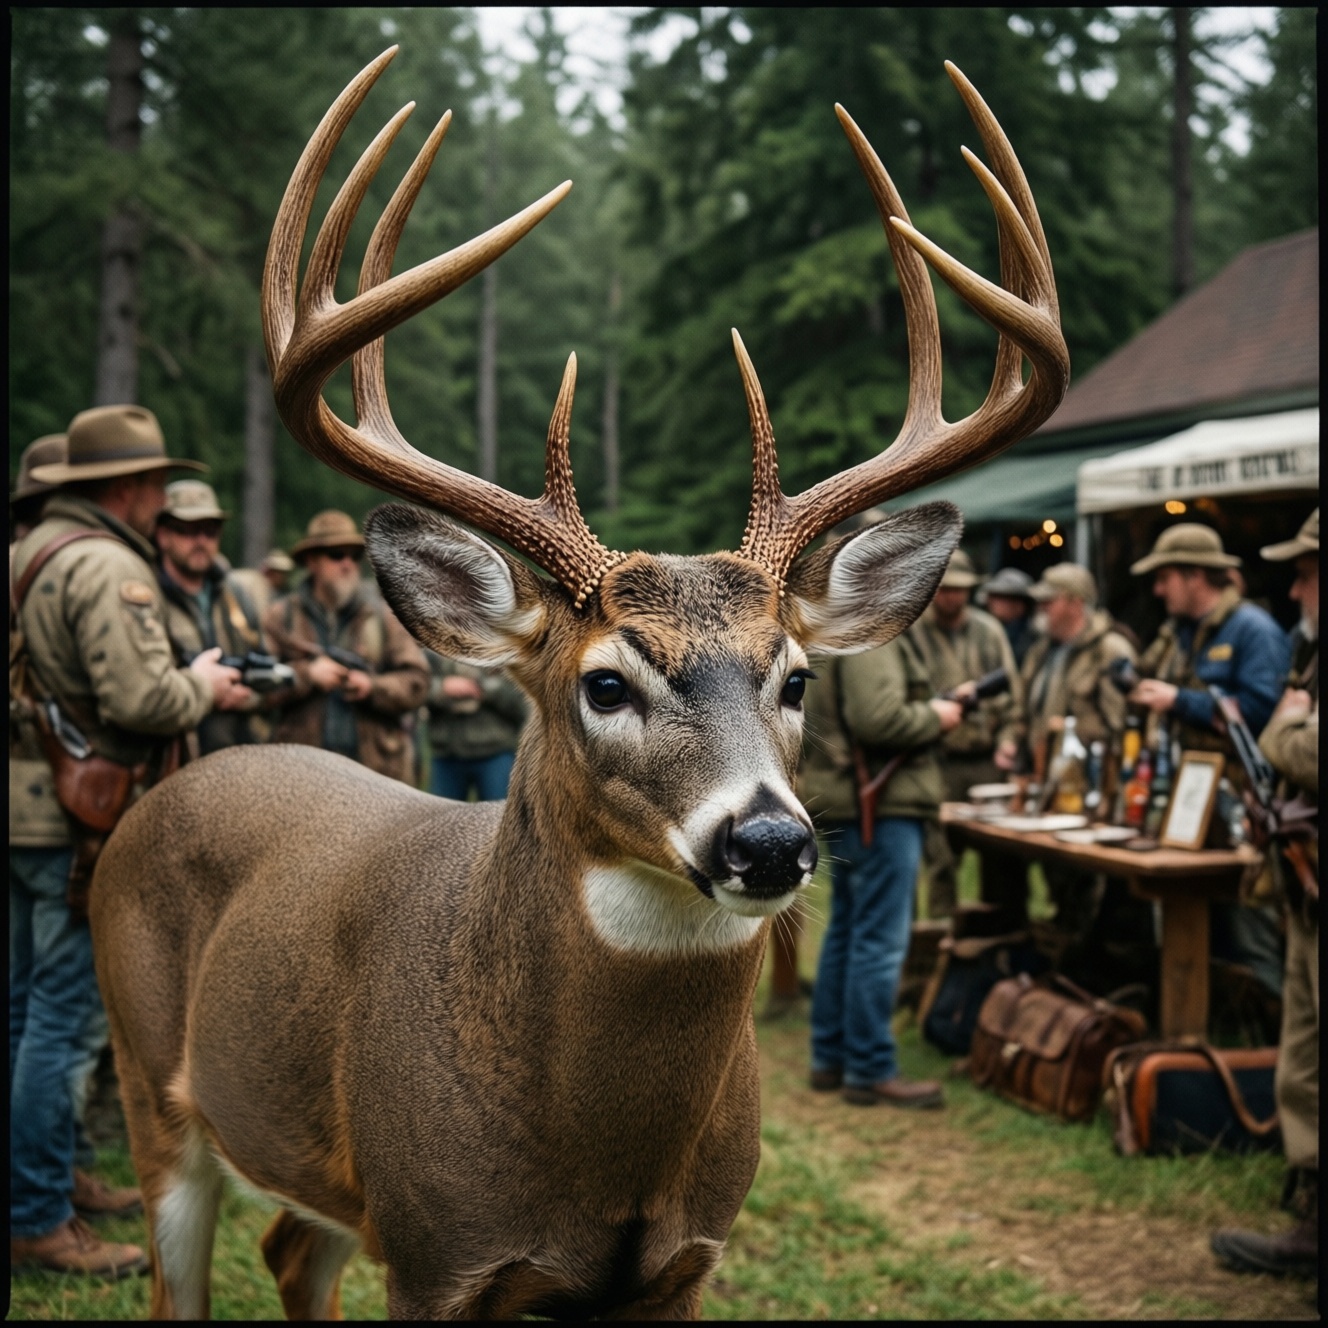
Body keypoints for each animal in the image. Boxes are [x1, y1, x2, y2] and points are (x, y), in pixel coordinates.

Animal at [90, 46, 1067, 1320]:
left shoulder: (684, 1260)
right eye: (603, 684)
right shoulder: (438, 1251)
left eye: (797, 678)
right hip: (151, 1084)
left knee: (292, 1250)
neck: (601, 1159)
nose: (768, 840)